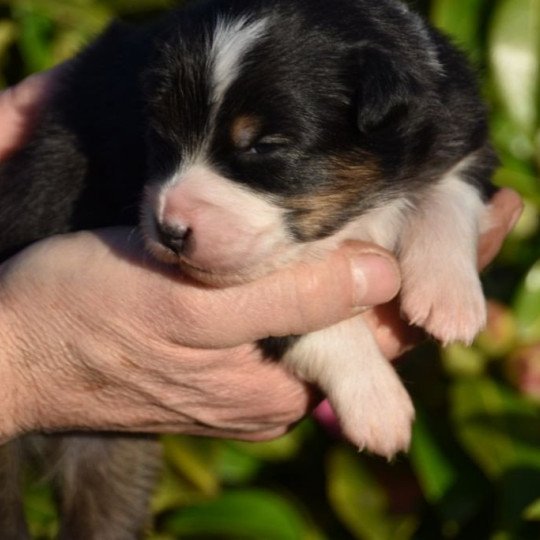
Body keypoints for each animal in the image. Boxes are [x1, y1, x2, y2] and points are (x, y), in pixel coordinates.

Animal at [0, 0, 496, 536]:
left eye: (263, 147)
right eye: (159, 134)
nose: (170, 231)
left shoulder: (457, 123)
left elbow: (453, 190)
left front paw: (449, 300)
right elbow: (312, 323)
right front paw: (378, 404)